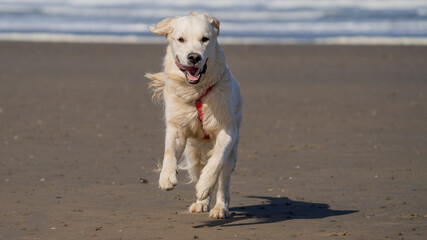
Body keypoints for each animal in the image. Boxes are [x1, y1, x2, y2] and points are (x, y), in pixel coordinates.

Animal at [145, 13, 242, 219]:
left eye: (205, 39)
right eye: (180, 39)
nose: (194, 57)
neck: (197, 92)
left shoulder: (227, 130)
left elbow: (216, 160)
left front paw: (205, 184)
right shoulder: (177, 127)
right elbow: (169, 151)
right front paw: (166, 177)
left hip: (231, 154)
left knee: (223, 181)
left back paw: (220, 208)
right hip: (193, 154)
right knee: (198, 169)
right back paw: (201, 203)